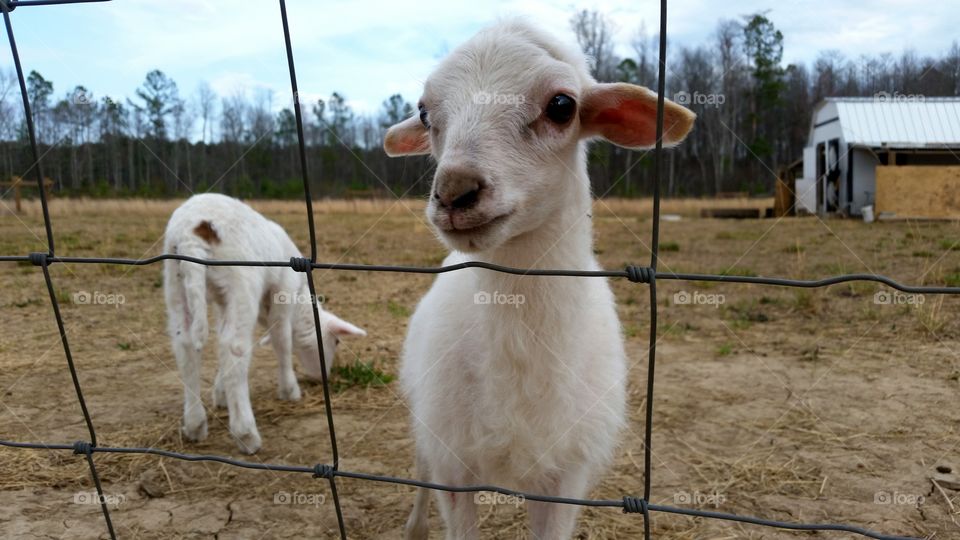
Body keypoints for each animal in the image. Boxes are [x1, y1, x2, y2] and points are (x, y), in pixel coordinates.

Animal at [163, 193, 365, 454]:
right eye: (337, 341)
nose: (323, 377)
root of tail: (191, 233)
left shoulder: (222, 302)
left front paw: (220, 393)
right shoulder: (283, 291)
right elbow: (282, 340)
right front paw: (289, 390)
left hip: (175, 282)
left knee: (186, 346)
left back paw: (195, 425)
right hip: (240, 280)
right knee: (234, 348)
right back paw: (246, 433)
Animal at [384, 19, 694, 539]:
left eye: (562, 106)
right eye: (424, 114)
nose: (454, 193)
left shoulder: (566, 476)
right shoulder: (454, 466)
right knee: (421, 465)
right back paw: (415, 525)